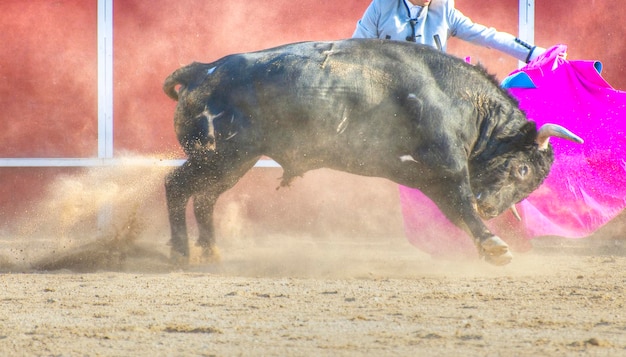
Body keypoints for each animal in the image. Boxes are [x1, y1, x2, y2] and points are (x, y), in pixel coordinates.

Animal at [162, 40, 580, 266]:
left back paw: (209, 251)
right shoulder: (445, 167)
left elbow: (455, 211)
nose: (491, 208)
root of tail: (203, 70)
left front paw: (486, 246)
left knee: (204, 198)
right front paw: (495, 246)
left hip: (234, 163)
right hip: (220, 156)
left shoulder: (428, 177)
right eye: (523, 170)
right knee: (176, 186)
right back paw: (181, 252)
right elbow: (462, 204)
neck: (457, 99)